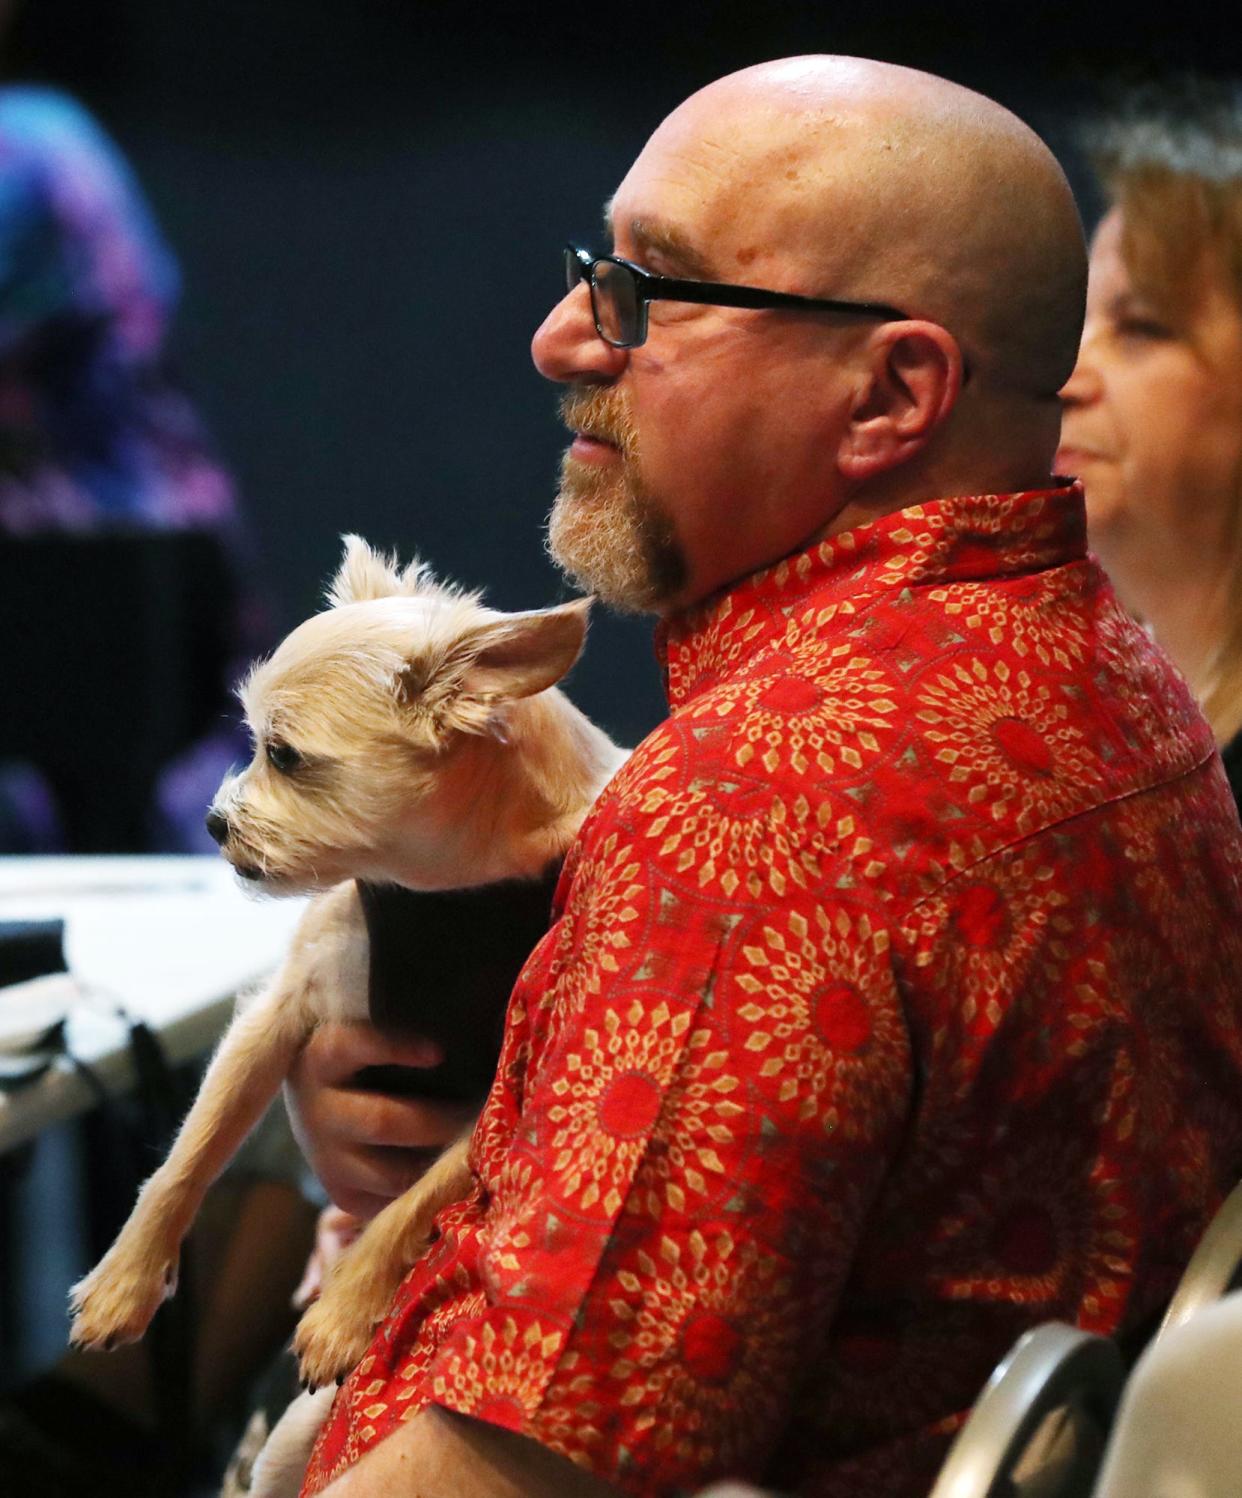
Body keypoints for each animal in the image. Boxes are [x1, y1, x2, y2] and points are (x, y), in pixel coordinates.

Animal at [67, 539, 626, 1462]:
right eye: (252, 744)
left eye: (285, 755)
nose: (215, 823)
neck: (443, 895)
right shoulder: (276, 1015)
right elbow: (191, 1153)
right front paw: (126, 1279)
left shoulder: (495, 1102)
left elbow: (407, 1209)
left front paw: (342, 1313)